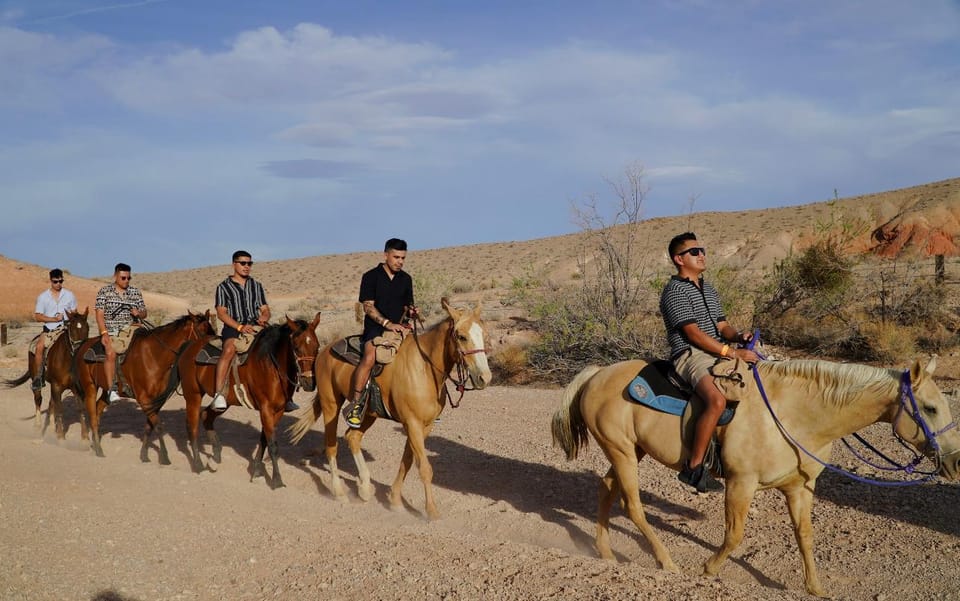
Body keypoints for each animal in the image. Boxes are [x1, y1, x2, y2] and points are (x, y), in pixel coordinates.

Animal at [75, 312, 214, 462]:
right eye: (202, 331)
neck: (154, 356)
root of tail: (83, 345)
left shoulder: (155, 401)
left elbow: (150, 426)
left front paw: (144, 455)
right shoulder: (143, 399)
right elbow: (158, 426)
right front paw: (164, 457)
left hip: (105, 391)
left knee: (98, 410)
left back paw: (95, 444)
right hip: (90, 387)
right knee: (92, 415)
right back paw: (99, 450)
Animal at [174, 314, 320, 488]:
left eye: (317, 347)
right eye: (296, 347)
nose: (309, 383)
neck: (271, 364)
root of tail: (189, 346)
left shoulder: (278, 411)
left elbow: (264, 440)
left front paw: (256, 472)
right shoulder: (265, 408)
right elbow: (272, 445)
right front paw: (276, 480)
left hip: (224, 402)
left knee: (206, 417)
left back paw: (214, 458)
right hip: (193, 395)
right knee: (193, 426)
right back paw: (198, 465)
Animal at [288, 298, 492, 516]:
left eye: (484, 335)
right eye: (461, 336)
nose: (485, 378)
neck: (424, 369)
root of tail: (324, 351)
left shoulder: (424, 426)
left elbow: (408, 460)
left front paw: (394, 500)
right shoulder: (412, 423)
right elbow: (424, 468)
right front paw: (431, 511)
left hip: (369, 413)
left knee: (353, 437)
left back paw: (365, 487)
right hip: (331, 405)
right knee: (331, 446)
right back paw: (339, 491)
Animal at [552, 356, 960, 596]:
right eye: (930, 407)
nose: (955, 462)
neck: (793, 415)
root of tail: (598, 374)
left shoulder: (800, 488)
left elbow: (805, 537)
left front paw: (815, 587)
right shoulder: (740, 483)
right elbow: (734, 536)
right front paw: (708, 569)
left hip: (629, 450)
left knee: (606, 489)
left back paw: (605, 553)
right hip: (622, 451)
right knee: (633, 505)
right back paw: (666, 563)